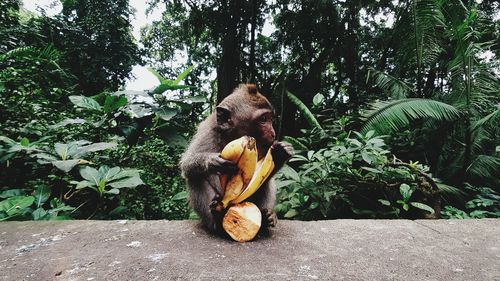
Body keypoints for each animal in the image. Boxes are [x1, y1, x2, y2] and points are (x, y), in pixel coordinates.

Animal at [181, 83, 292, 234]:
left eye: (270, 118)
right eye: (263, 119)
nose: (273, 133)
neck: (233, 136)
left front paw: (280, 154)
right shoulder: (208, 131)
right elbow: (186, 165)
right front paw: (213, 161)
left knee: (266, 181)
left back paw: (266, 218)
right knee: (195, 176)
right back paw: (217, 218)